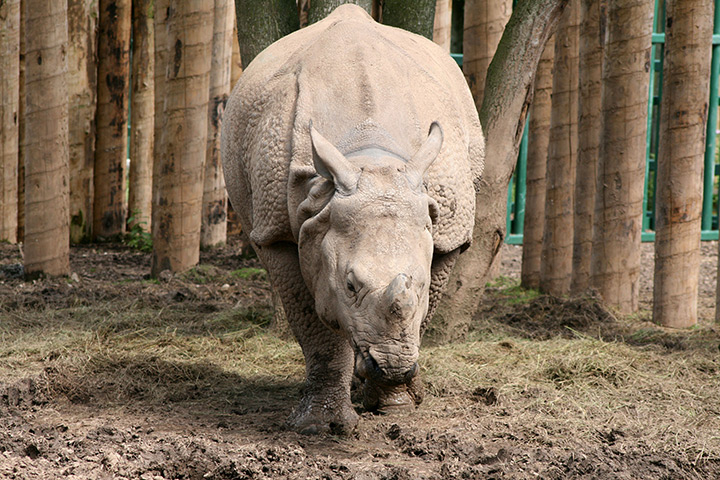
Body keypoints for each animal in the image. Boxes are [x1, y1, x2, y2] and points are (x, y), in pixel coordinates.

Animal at [221, 4, 484, 434]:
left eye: (420, 281)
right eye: (348, 285)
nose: (392, 367)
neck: (371, 156)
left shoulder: (446, 234)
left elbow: (423, 311)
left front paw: (394, 402)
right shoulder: (278, 231)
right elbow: (315, 327)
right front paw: (320, 425)